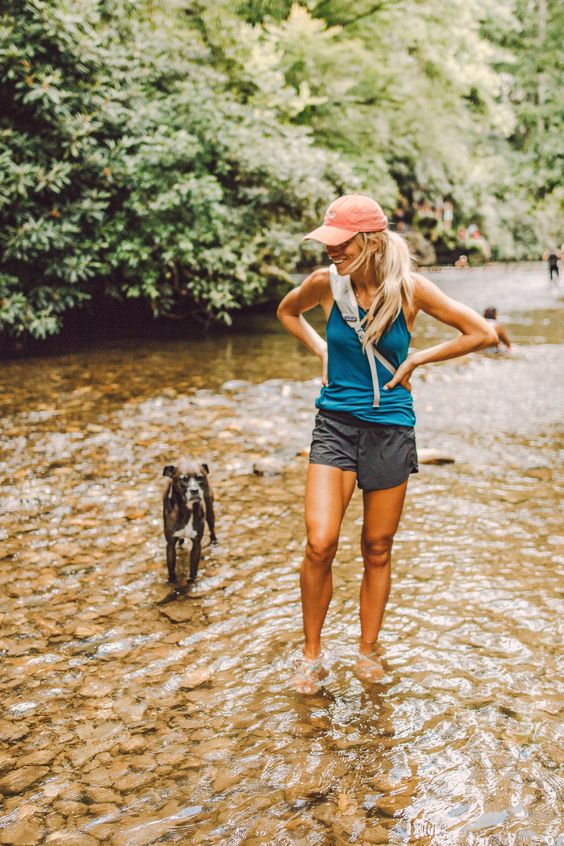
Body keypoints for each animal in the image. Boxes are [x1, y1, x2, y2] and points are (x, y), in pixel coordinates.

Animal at [164, 460, 217, 588]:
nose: (194, 490)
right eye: (183, 479)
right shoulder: (170, 544)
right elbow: (171, 568)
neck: (187, 510)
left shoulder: (196, 543)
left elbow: (193, 569)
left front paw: (192, 581)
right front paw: (172, 582)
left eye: (200, 478)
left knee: (212, 528)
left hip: (210, 509)